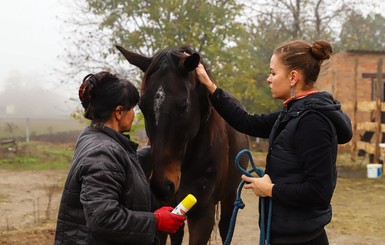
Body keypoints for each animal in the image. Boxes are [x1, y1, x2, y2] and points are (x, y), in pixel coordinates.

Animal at [116, 45, 249, 244]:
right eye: (142, 105)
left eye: (184, 105)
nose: (162, 186)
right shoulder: (164, 213)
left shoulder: (203, 216)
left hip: (230, 194)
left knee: (225, 226)